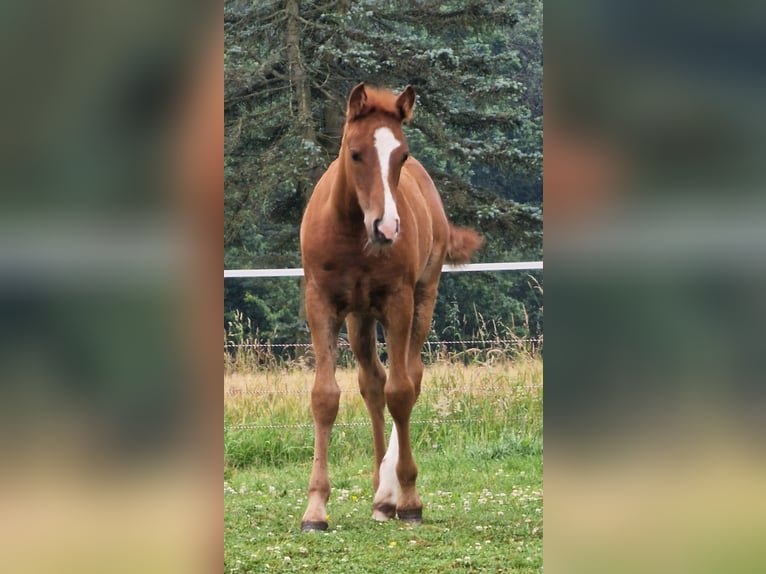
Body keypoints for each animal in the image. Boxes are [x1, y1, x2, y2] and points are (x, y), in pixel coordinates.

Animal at [298, 83, 480, 532]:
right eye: (355, 153)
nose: (387, 227)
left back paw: (390, 493)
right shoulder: (321, 303)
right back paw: (379, 494)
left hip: (422, 299)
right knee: (372, 382)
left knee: (409, 377)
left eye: (403, 155)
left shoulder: (399, 302)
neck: (352, 232)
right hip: (360, 317)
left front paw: (409, 498)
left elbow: (401, 392)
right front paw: (315, 508)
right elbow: (326, 396)